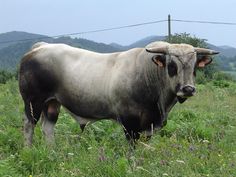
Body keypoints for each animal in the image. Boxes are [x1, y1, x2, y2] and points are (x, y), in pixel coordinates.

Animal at [18, 41, 219, 145]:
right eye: (172, 65)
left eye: (195, 67)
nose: (188, 89)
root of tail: (40, 47)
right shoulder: (129, 122)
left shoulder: (149, 125)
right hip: (33, 102)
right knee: (29, 126)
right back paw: (29, 150)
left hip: (52, 104)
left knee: (47, 127)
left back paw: (52, 151)